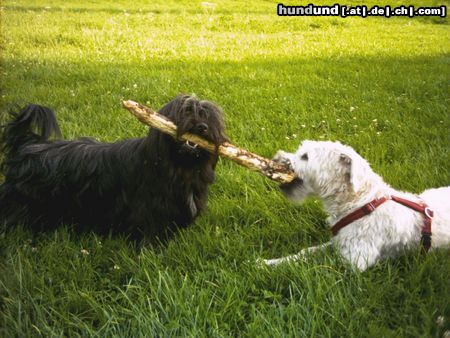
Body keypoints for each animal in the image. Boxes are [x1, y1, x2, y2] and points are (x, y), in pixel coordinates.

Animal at [0, 95, 229, 240]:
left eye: (208, 117)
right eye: (186, 112)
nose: (203, 128)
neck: (179, 167)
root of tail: (28, 144)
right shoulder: (148, 209)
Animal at [260, 140, 450, 272]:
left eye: (305, 156)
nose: (276, 157)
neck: (361, 203)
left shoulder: (354, 260)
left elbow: (313, 264)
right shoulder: (340, 241)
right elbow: (305, 253)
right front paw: (269, 263)